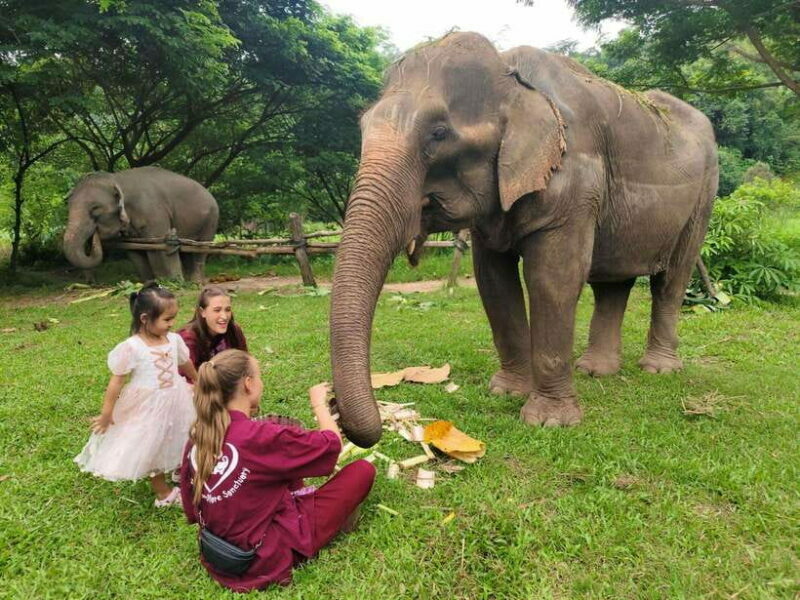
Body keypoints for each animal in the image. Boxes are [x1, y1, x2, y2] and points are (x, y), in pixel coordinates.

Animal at [63, 167, 219, 282]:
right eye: (68, 207)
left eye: (95, 209)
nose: (95, 235)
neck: (117, 179)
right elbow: (134, 250)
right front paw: (148, 283)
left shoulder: (154, 212)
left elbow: (156, 246)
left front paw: (166, 282)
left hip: (211, 218)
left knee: (201, 248)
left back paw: (195, 282)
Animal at [329, 32, 719, 447]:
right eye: (362, 127)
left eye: (438, 133)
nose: (342, 418)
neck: (511, 77)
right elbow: (494, 282)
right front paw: (506, 392)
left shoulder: (574, 181)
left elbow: (552, 279)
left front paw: (550, 422)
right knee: (612, 283)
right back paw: (596, 371)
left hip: (704, 195)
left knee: (671, 279)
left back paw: (658, 369)